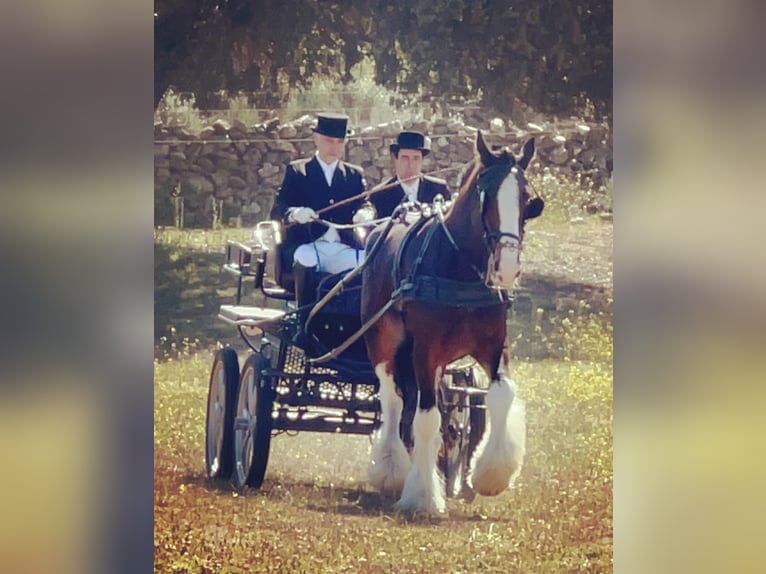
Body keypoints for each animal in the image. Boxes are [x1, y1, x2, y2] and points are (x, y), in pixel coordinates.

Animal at [364, 133, 544, 516]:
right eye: (486, 196)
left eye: (527, 200)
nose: (507, 269)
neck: (461, 269)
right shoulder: (424, 350)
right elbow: (426, 418)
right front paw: (422, 497)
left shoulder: (495, 346)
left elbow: (501, 396)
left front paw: (491, 475)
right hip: (382, 342)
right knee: (393, 400)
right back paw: (392, 470)